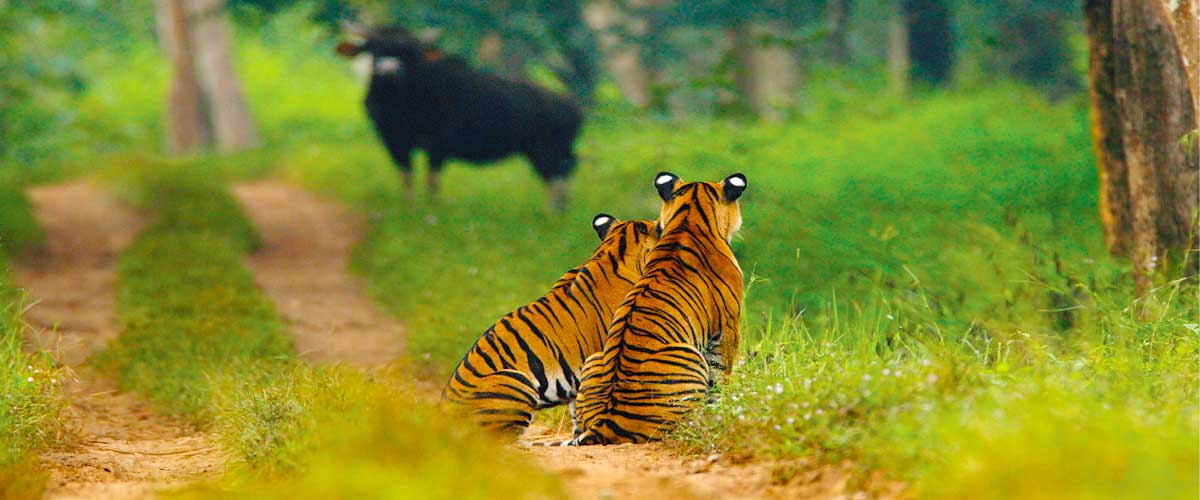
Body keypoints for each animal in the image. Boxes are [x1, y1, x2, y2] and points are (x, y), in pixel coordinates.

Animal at [567, 171, 747, 446]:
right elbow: (720, 377)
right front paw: (721, 412)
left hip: (594, 358)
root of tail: (606, 420)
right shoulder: (727, 328)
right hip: (688, 355)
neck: (688, 219)